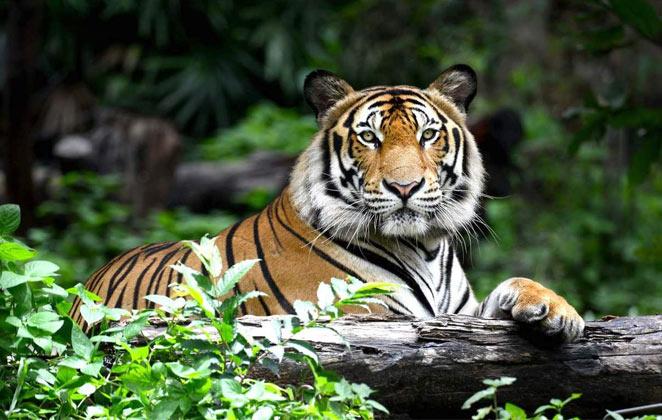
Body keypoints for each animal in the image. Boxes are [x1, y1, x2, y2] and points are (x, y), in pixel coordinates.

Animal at [72, 64, 585, 342]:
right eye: (369, 137)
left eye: (427, 135)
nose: (404, 187)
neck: (424, 247)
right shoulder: (364, 317)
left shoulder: (460, 315)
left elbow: (513, 285)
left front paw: (557, 312)